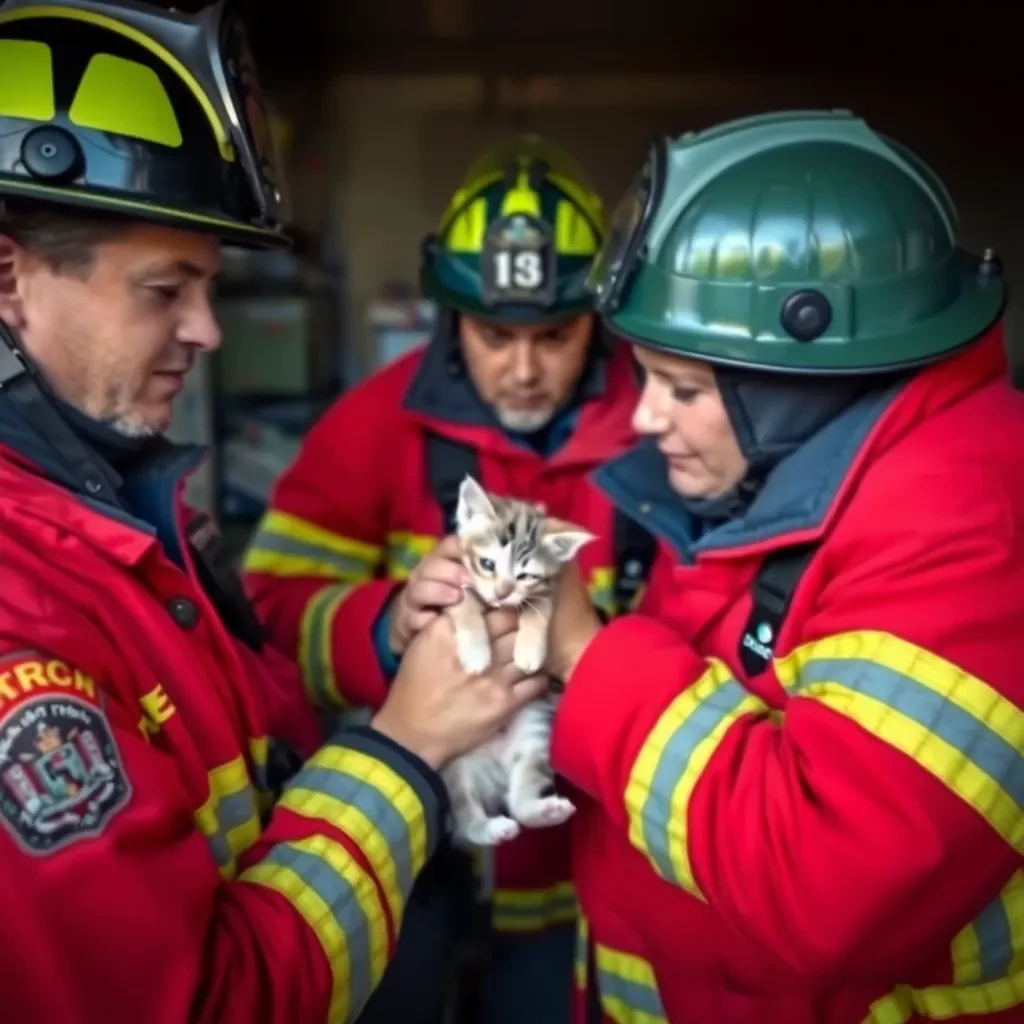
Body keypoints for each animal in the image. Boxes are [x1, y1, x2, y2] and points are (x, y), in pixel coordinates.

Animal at [440, 475, 593, 843]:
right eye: (487, 564)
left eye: (525, 576)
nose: (501, 592)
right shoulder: (445, 587)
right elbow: (464, 599)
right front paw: (476, 651)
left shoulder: (548, 587)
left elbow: (538, 606)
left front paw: (528, 650)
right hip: (455, 764)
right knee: (464, 817)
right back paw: (491, 828)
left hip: (533, 737)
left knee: (519, 799)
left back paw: (543, 811)